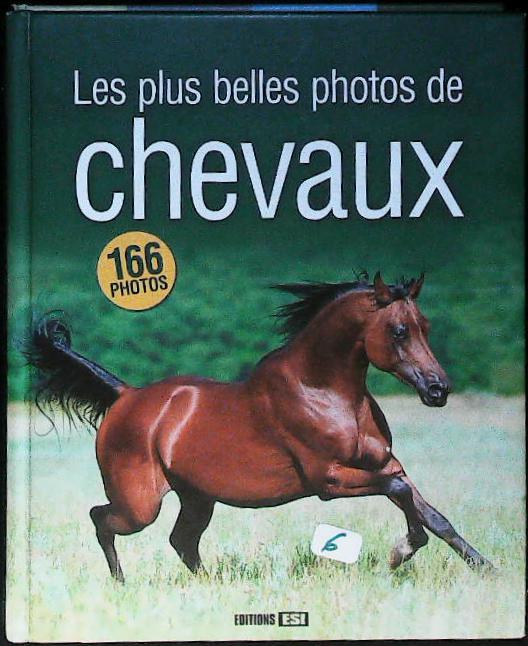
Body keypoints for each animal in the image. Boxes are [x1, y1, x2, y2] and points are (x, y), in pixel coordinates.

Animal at [25, 271, 493, 582]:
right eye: (398, 331)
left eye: (425, 327)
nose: (438, 389)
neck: (324, 391)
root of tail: (125, 395)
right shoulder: (329, 480)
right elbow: (402, 498)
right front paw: (399, 554)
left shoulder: (387, 464)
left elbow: (432, 514)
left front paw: (486, 566)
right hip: (140, 505)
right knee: (102, 518)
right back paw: (121, 583)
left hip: (197, 498)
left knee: (182, 541)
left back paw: (210, 587)